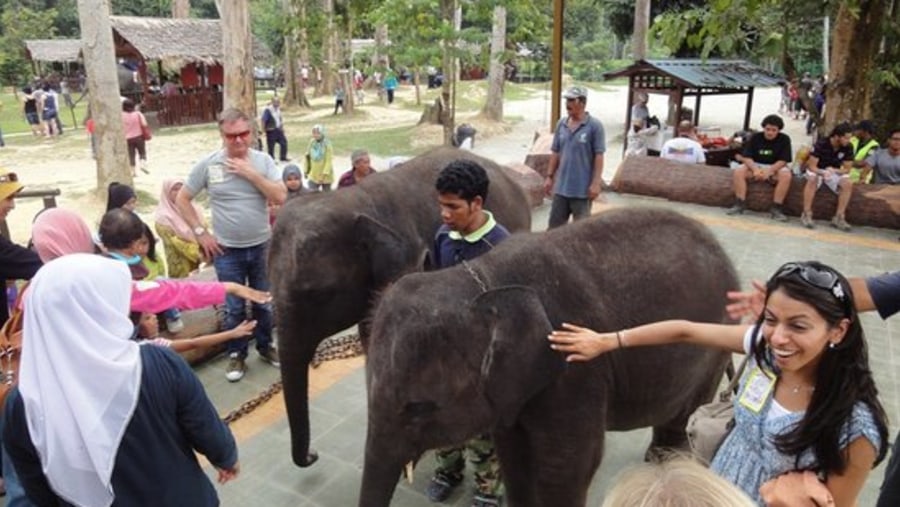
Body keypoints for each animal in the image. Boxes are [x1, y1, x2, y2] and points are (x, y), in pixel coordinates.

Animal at [358, 207, 740, 507]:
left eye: (419, 408)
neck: (483, 280)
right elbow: (514, 455)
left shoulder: (574, 370)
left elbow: (569, 465)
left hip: (717, 337)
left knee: (685, 413)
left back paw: (665, 465)